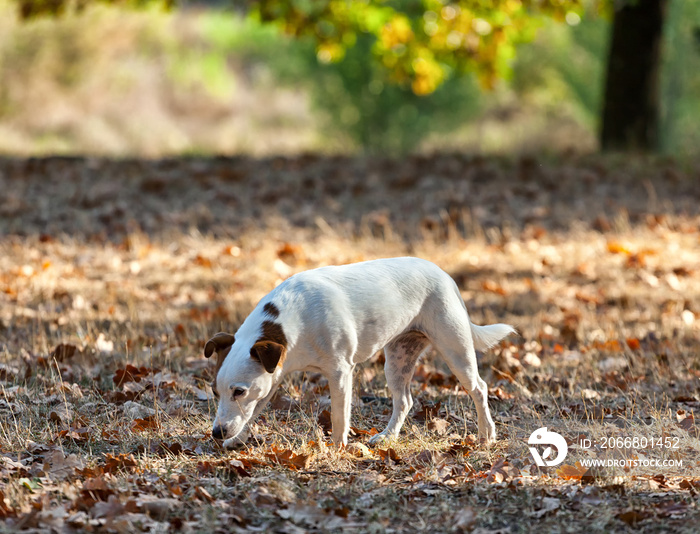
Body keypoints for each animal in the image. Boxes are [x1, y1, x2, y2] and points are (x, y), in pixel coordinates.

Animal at [202, 258, 516, 450]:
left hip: (455, 350)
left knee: (479, 388)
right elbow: (253, 412)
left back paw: (487, 435)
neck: (290, 322)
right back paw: (387, 437)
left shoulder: (340, 372)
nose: (217, 433)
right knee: (404, 400)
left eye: (239, 391)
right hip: (398, 359)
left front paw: (337, 448)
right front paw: (238, 439)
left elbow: (340, 417)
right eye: (215, 392)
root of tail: (445, 276)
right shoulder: (272, 377)